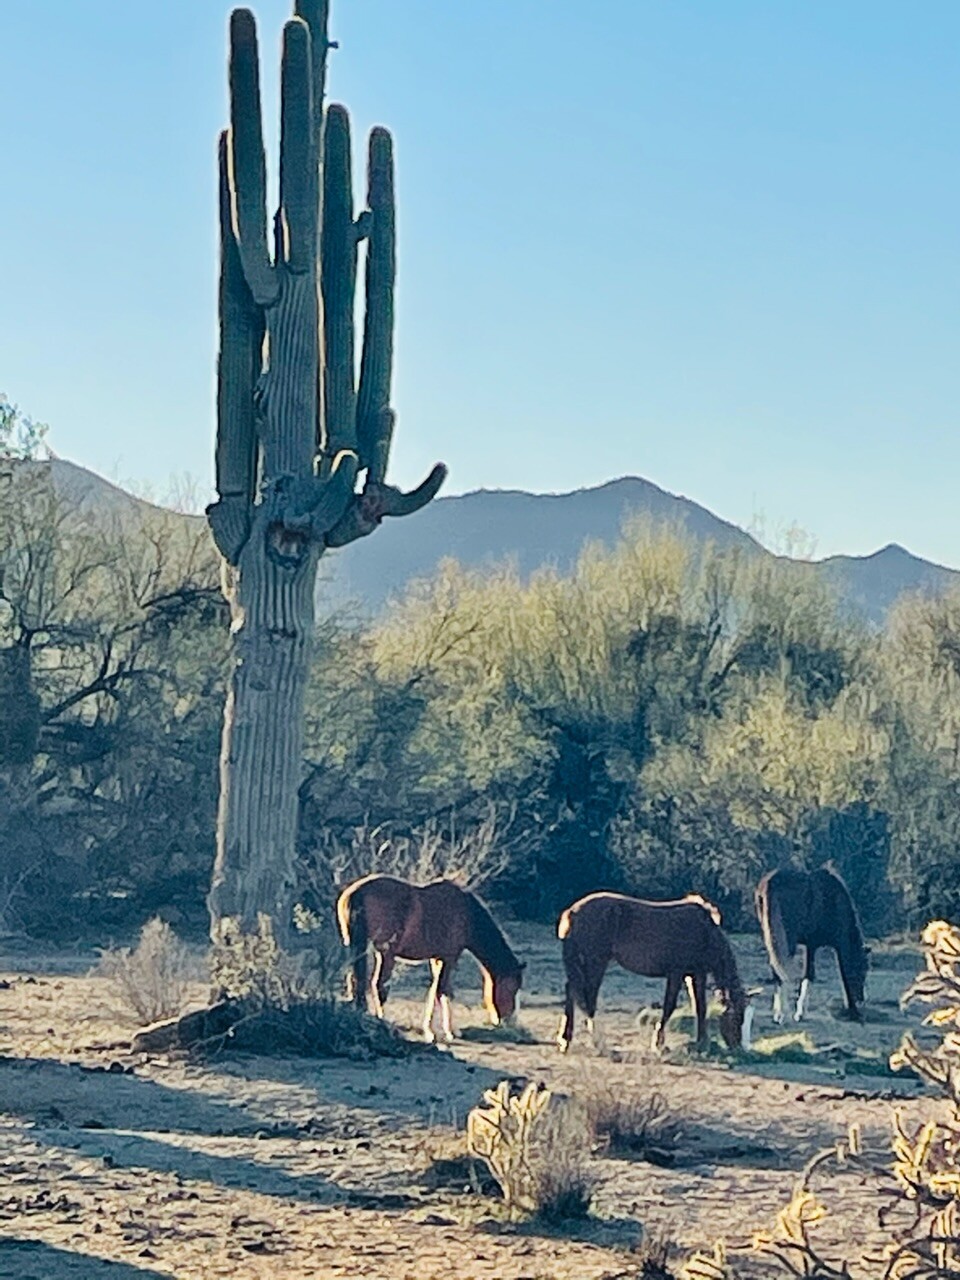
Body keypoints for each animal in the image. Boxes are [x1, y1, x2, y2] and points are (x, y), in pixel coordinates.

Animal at [335, 874, 524, 1043]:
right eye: (513, 988)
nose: (509, 1020)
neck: (467, 915)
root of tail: (357, 892)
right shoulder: (449, 958)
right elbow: (441, 991)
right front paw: (443, 1032)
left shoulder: (437, 959)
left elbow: (439, 991)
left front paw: (439, 1031)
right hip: (385, 954)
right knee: (378, 986)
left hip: (356, 947)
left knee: (355, 981)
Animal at [556, 891, 753, 1054]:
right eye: (737, 1018)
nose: (737, 1047)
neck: (705, 931)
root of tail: (572, 911)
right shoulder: (676, 973)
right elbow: (669, 1006)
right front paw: (658, 1043)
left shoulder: (696, 974)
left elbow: (700, 1007)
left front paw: (701, 1043)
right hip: (595, 963)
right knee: (586, 998)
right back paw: (597, 1042)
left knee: (571, 990)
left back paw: (566, 1040)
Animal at [755, 865, 869, 1024]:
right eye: (863, 970)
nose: (860, 1001)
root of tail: (769, 883)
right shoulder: (812, 944)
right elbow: (810, 974)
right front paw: (799, 1013)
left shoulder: (807, 945)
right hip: (786, 940)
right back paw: (782, 1014)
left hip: (771, 939)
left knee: (776, 972)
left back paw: (778, 1014)